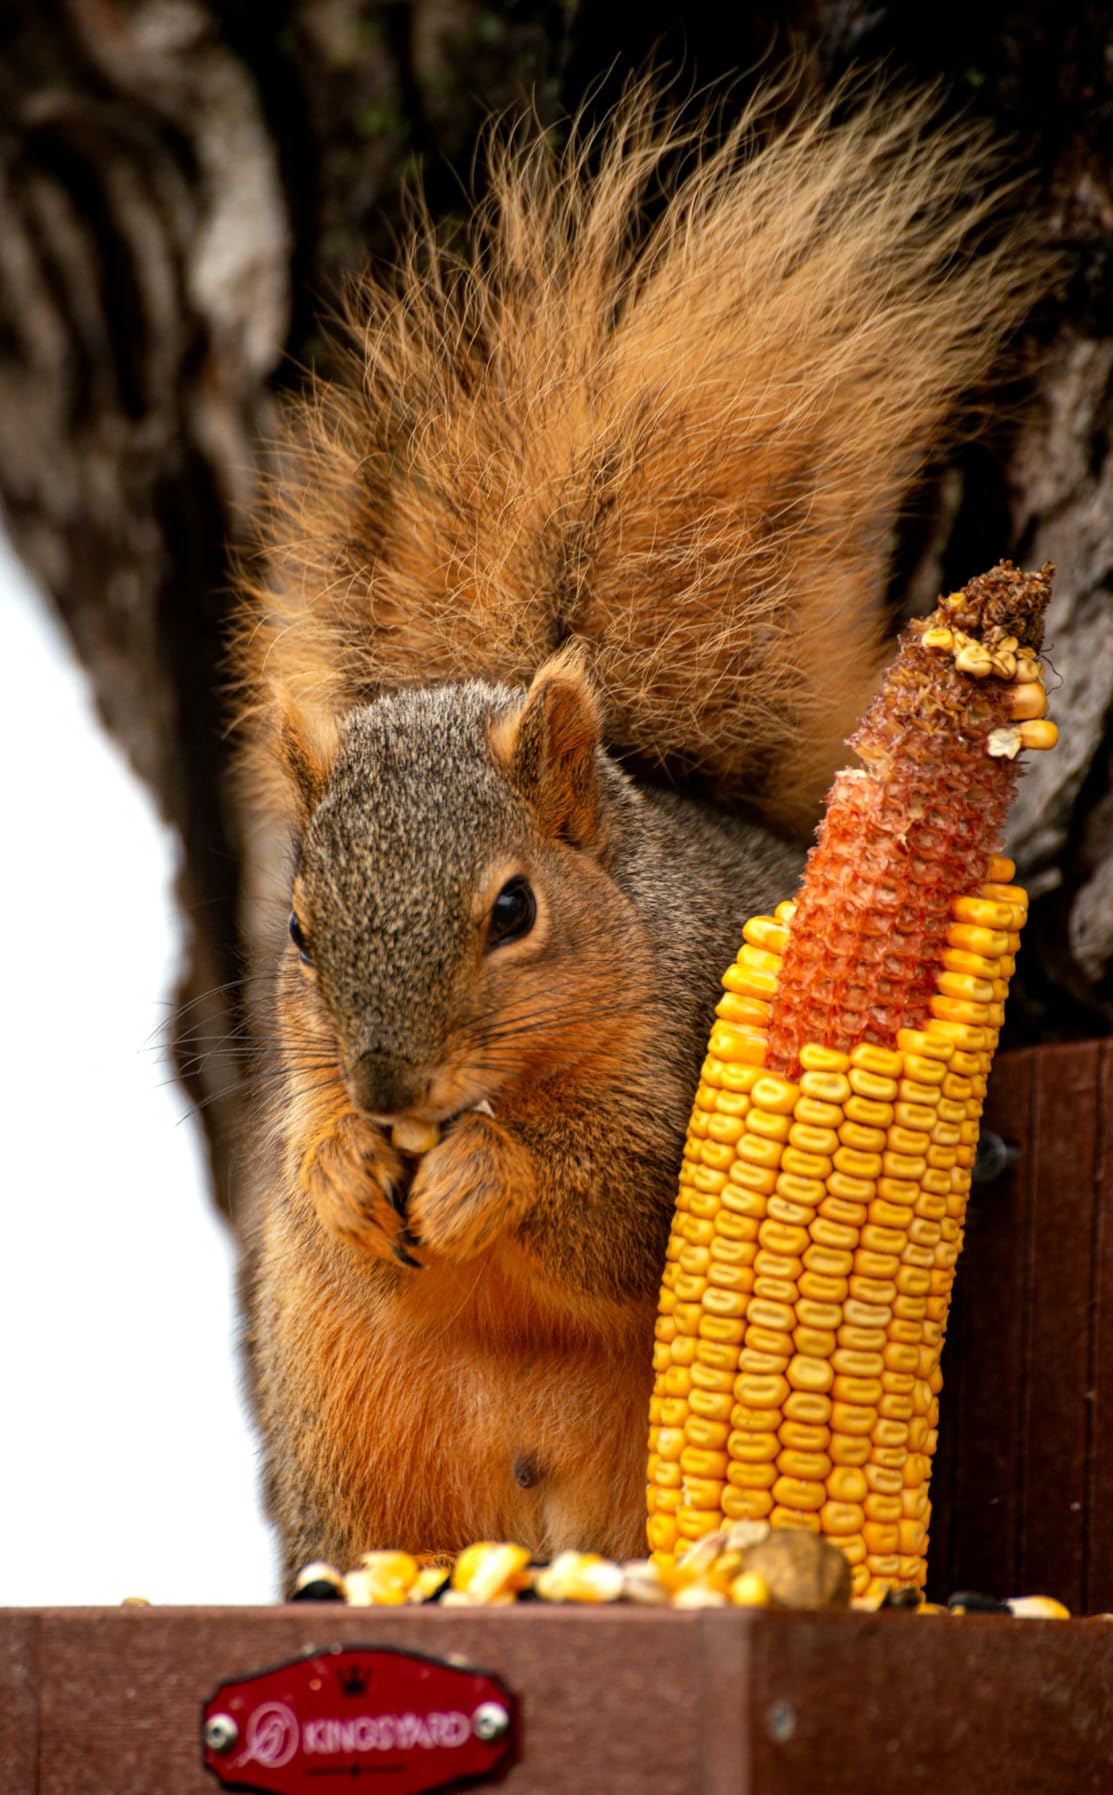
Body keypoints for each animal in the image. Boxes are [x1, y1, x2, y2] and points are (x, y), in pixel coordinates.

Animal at [235, 80, 1043, 1588]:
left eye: (512, 910)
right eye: (299, 929)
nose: (386, 1087)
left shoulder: (688, 1066)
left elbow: (630, 1217)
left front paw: (488, 1172)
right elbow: (314, 1182)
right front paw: (340, 1169)